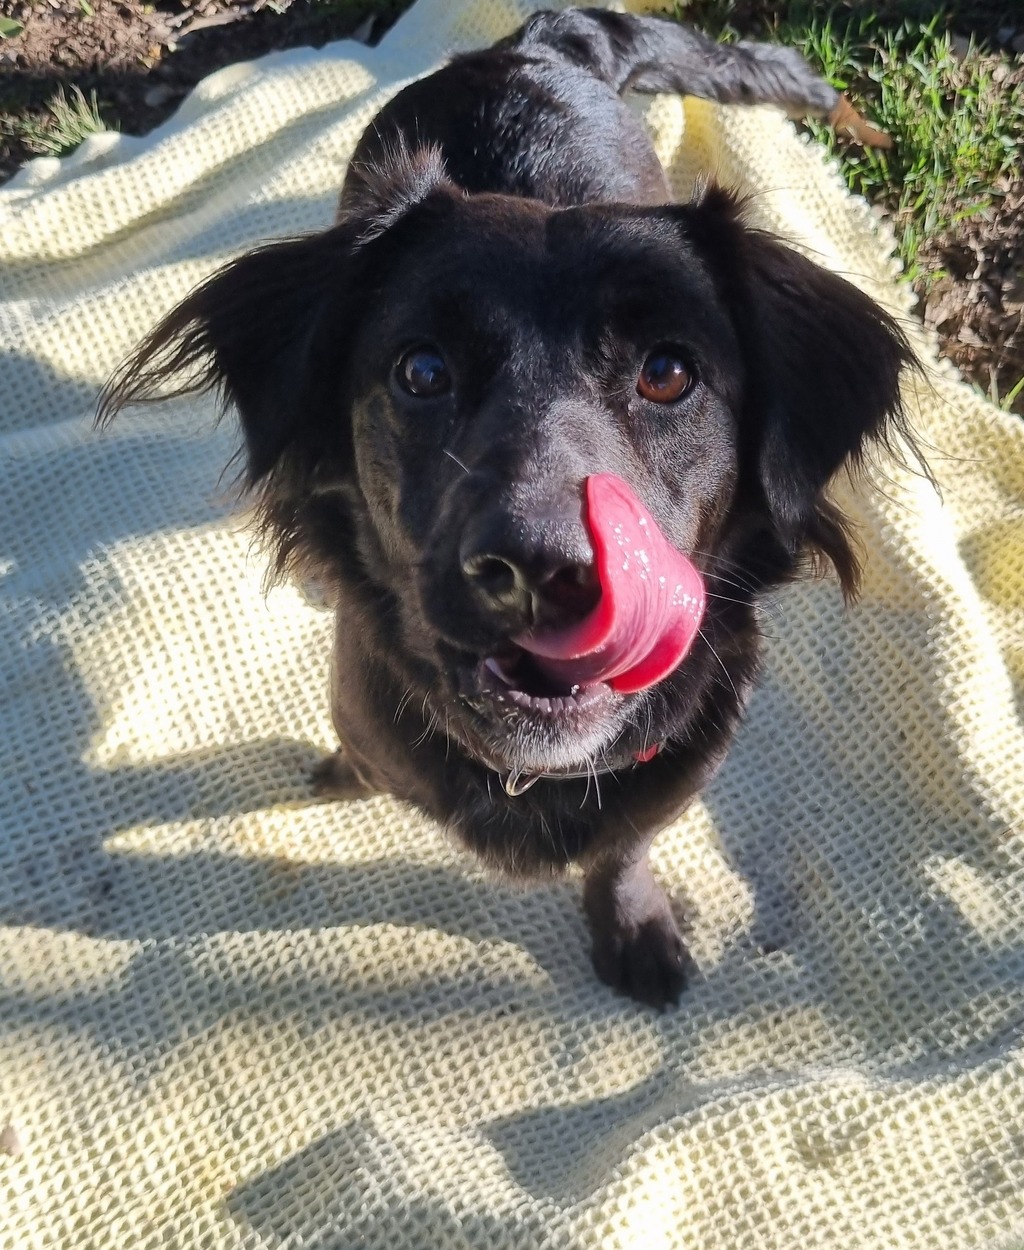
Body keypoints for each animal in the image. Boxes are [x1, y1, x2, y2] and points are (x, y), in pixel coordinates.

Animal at [99, 8, 913, 1007]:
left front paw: (631, 924)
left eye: (669, 371)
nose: (540, 568)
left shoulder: (669, 778)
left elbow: (622, 845)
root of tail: (537, 42)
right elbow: (363, 756)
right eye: (422, 371)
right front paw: (340, 772)